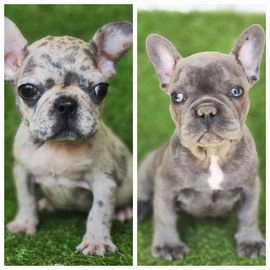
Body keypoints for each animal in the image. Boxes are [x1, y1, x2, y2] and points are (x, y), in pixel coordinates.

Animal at [5, 17, 133, 256]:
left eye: (101, 89)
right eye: (27, 90)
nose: (66, 104)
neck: (57, 147)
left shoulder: (103, 182)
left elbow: (99, 212)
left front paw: (96, 241)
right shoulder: (22, 172)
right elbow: (26, 199)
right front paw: (25, 223)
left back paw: (124, 211)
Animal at [139, 24, 266, 260]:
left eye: (237, 91)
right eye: (177, 96)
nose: (206, 110)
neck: (213, 154)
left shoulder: (251, 188)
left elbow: (248, 216)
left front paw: (250, 241)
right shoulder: (166, 189)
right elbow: (165, 217)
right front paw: (168, 245)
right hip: (146, 171)